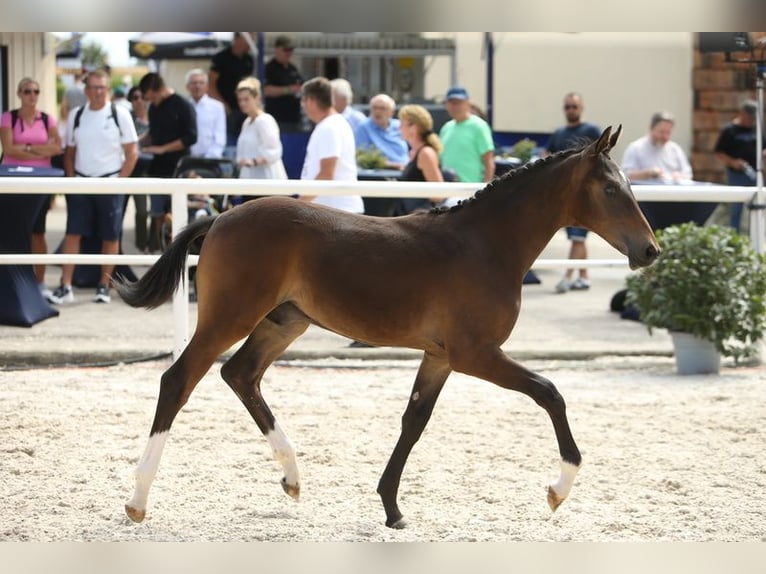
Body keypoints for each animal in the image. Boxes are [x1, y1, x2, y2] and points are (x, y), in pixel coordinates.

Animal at [115, 126, 660, 532]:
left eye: (630, 186)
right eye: (610, 189)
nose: (651, 250)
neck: (485, 245)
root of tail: (221, 216)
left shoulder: (440, 357)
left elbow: (413, 422)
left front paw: (392, 508)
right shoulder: (476, 354)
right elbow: (550, 392)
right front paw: (557, 490)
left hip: (285, 322)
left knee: (241, 375)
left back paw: (292, 477)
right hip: (230, 317)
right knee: (179, 380)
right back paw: (138, 500)